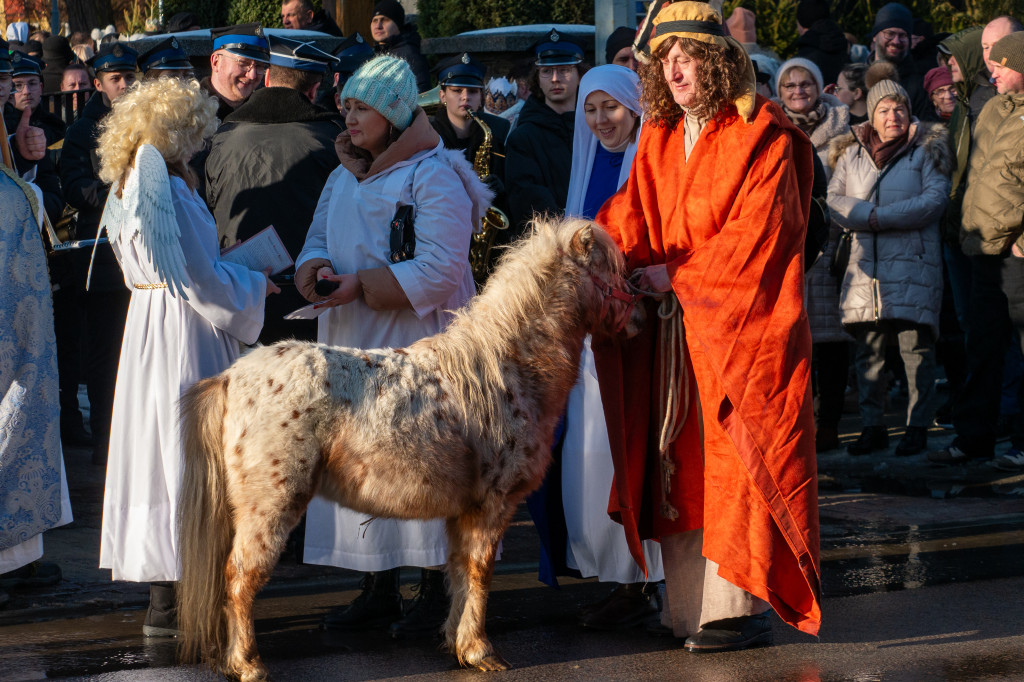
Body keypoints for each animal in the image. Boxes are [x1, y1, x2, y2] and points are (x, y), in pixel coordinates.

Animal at [175, 218, 638, 679]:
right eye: (611, 272)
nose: (639, 314)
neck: (504, 366)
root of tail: (233, 376)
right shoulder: (492, 506)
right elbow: (480, 571)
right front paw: (479, 650)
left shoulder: (464, 512)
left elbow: (459, 572)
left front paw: (457, 642)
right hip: (270, 506)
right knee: (240, 576)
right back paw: (247, 663)